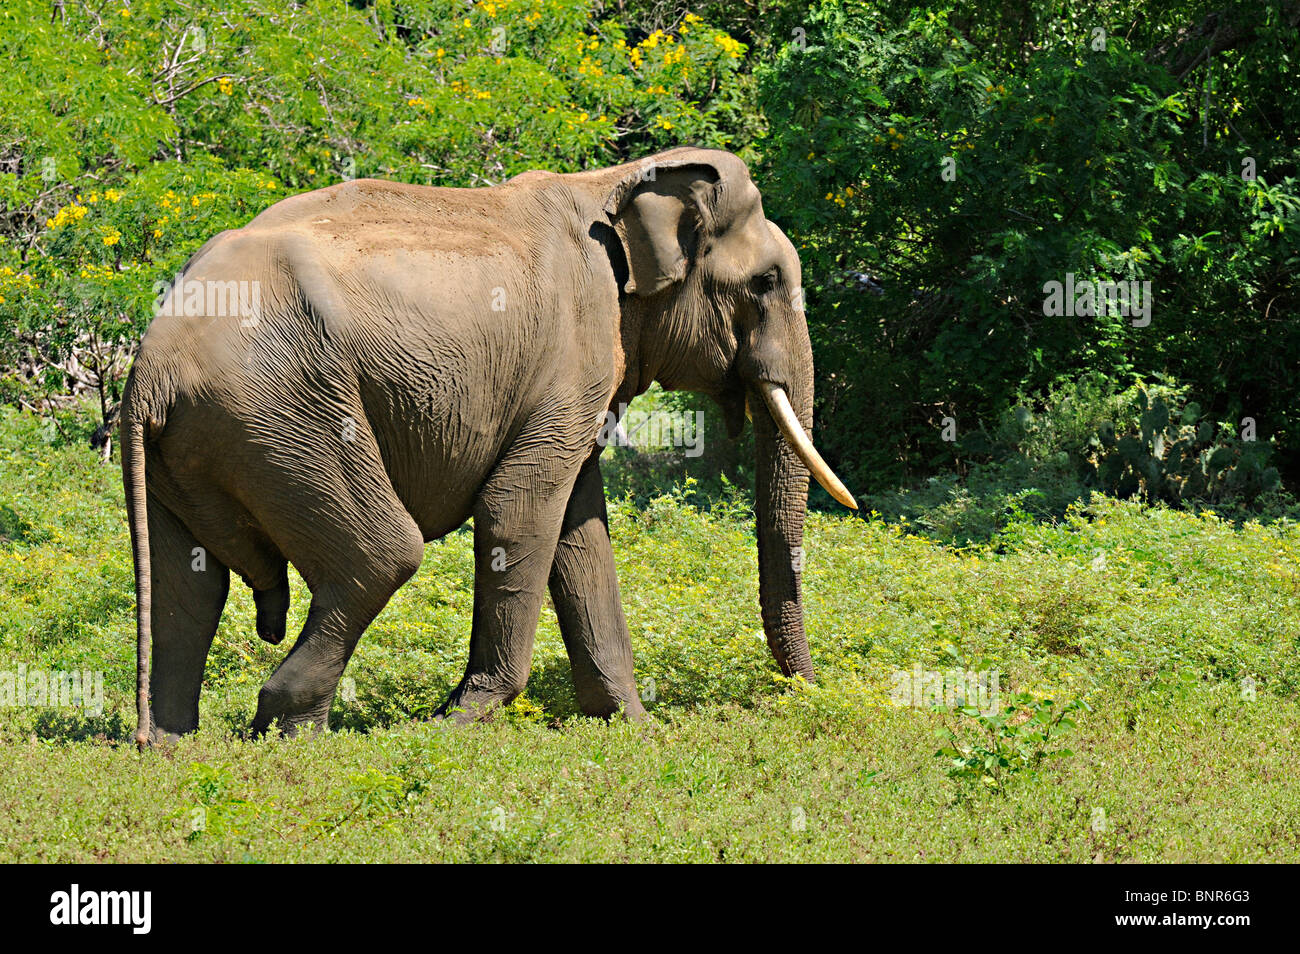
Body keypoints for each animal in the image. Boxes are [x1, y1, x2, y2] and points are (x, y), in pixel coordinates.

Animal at [119, 147, 852, 748]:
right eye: (765, 283)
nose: (803, 695)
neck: (614, 182)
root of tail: (149, 367)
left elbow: (581, 528)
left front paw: (631, 726)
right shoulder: (572, 352)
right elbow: (518, 507)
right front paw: (459, 720)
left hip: (200, 442)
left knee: (188, 583)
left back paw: (172, 742)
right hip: (287, 411)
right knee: (382, 555)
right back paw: (289, 729)